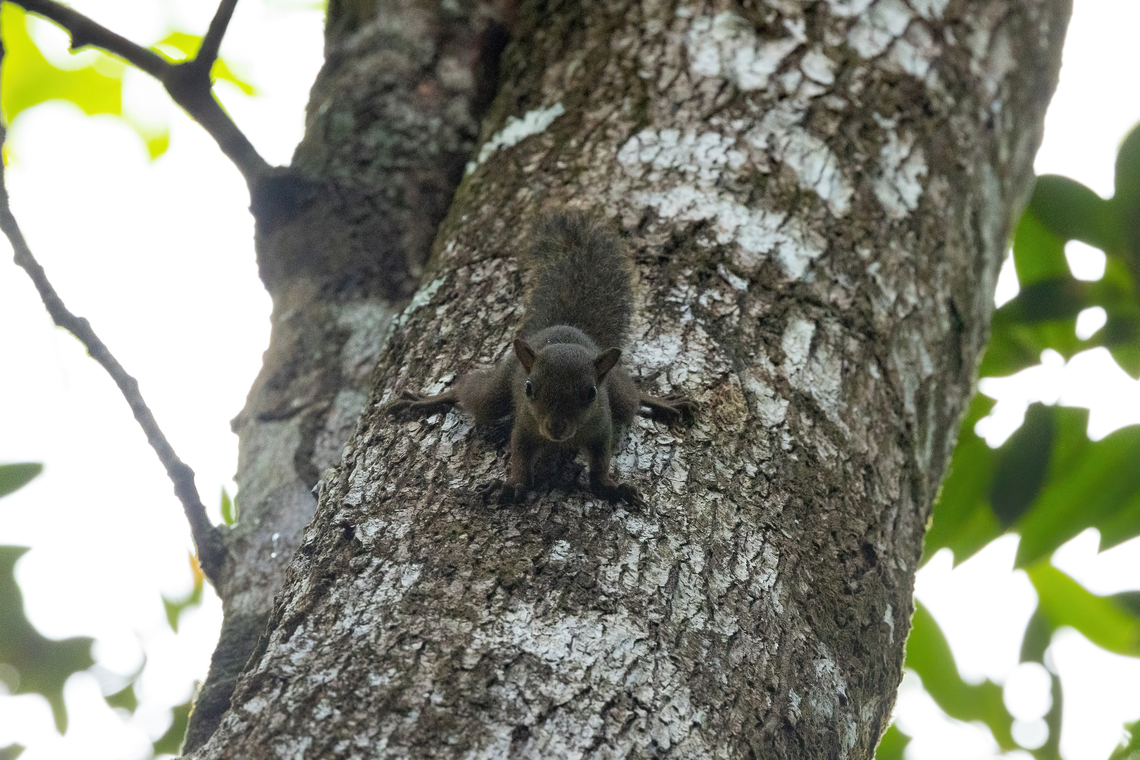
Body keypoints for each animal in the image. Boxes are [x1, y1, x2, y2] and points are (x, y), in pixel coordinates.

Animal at [387, 210, 694, 506]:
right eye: (528, 388)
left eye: (591, 393)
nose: (555, 428)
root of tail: (563, 328)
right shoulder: (525, 425)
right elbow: (520, 457)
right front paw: (512, 485)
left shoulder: (601, 427)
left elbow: (600, 466)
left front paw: (611, 488)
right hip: (498, 390)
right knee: (472, 392)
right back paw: (427, 400)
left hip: (618, 396)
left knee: (633, 399)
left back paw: (663, 402)